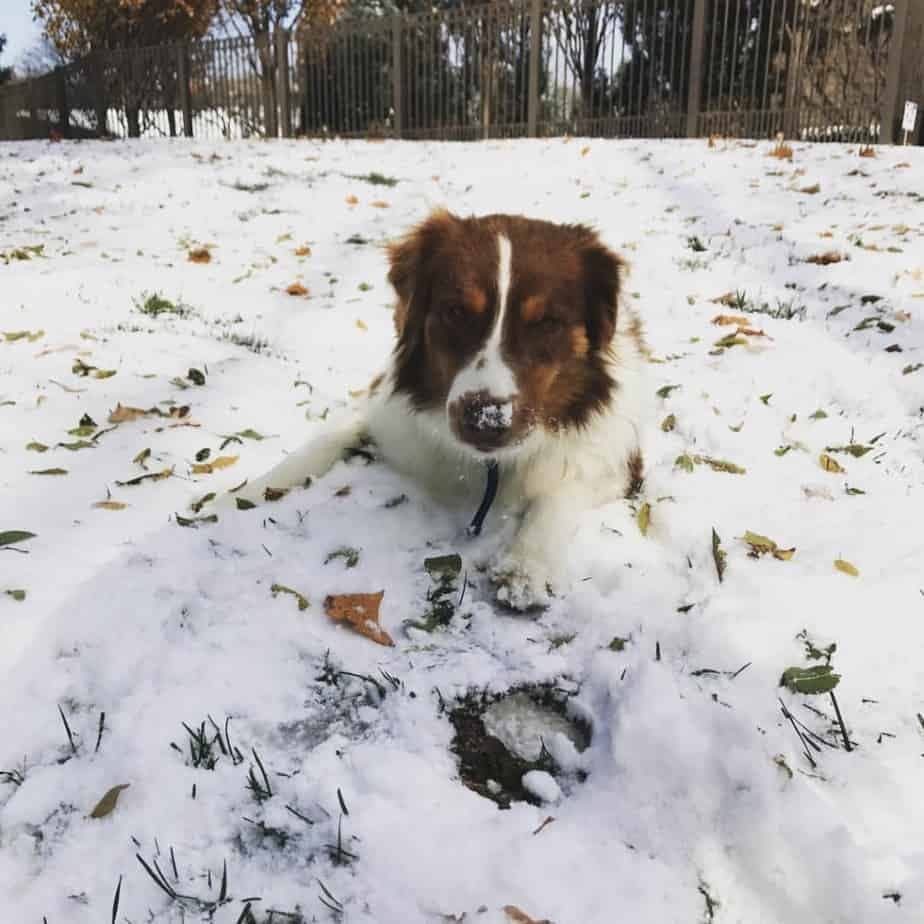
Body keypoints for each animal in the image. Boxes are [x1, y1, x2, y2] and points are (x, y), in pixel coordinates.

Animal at [229, 212, 648, 608]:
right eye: (456, 311)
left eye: (546, 322)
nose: (485, 421)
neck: (488, 467)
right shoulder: (385, 409)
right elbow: (318, 445)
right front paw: (235, 498)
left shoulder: (620, 465)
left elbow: (558, 496)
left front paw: (527, 568)